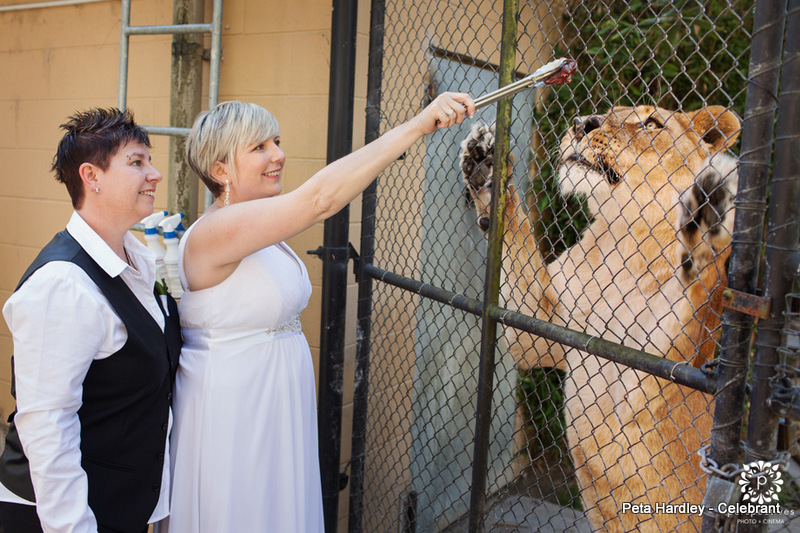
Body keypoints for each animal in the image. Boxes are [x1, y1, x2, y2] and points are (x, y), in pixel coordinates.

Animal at [460, 105, 740, 532]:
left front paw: (710, 216)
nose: (580, 124)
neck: (618, 237)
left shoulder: (652, 379)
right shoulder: (540, 335)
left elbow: (703, 299)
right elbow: (517, 237)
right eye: (608, 112)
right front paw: (486, 166)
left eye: (651, 123)